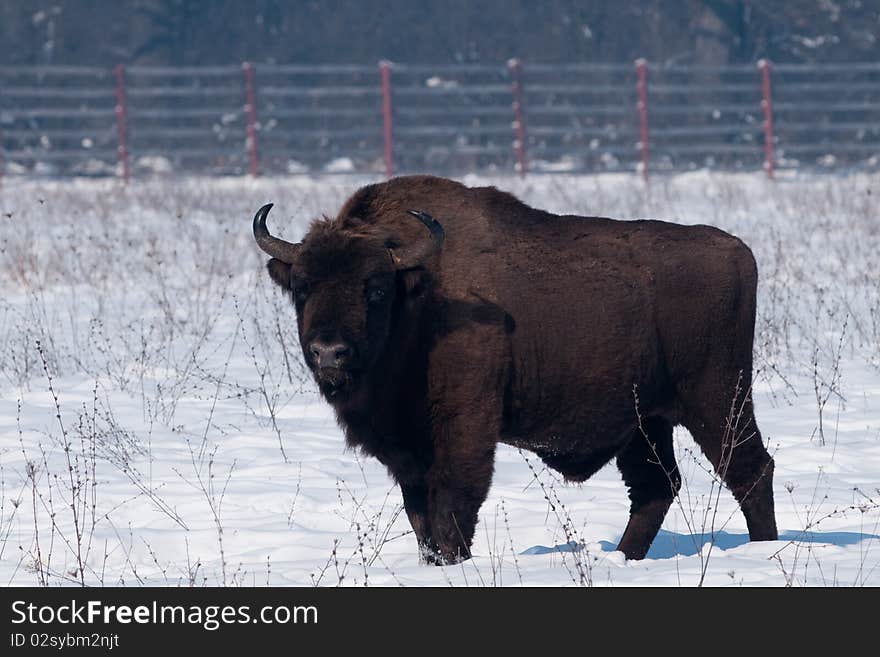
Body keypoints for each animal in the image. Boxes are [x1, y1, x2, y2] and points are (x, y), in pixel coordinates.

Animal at [253, 176, 776, 564]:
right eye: (302, 286)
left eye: (376, 289)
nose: (329, 353)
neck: (421, 298)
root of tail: (739, 251)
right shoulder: (407, 451)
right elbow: (420, 514)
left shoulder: (465, 425)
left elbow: (455, 500)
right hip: (645, 421)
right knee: (656, 486)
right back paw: (624, 558)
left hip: (718, 399)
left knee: (748, 469)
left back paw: (764, 550)